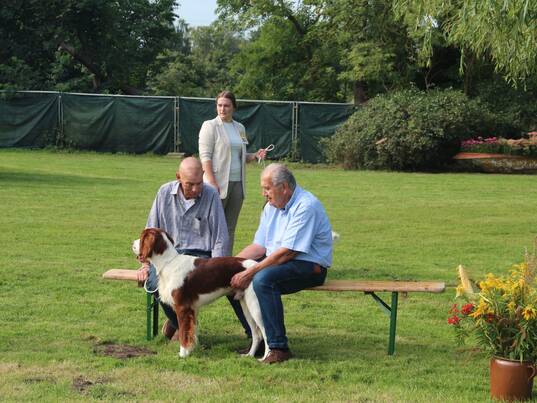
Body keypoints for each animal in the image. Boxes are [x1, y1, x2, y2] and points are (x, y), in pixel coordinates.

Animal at [132, 228, 268, 359]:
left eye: (142, 236)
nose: (132, 243)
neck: (169, 263)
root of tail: (258, 266)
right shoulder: (193, 309)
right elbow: (192, 332)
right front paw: (190, 351)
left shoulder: (183, 308)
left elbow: (183, 333)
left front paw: (183, 355)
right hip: (246, 305)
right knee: (256, 334)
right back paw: (249, 355)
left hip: (255, 306)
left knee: (265, 332)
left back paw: (266, 357)